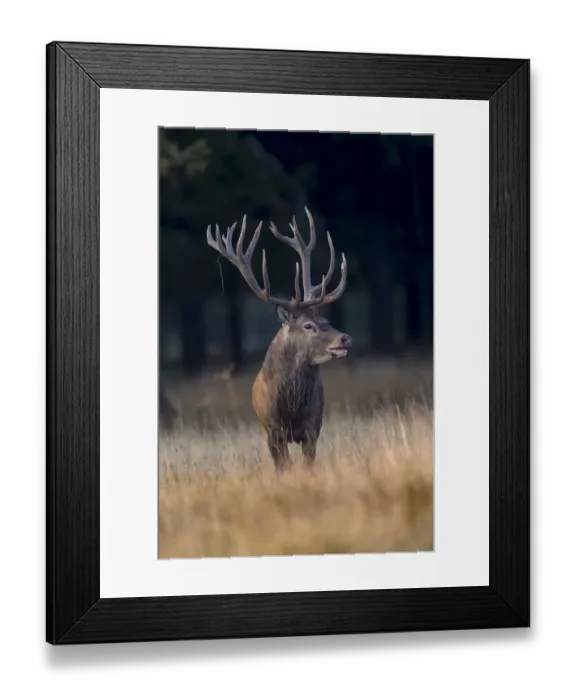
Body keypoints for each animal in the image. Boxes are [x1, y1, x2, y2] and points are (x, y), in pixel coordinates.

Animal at [206, 207, 352, 472]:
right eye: (308, 326)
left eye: (326, 320)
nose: (345, 338)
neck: (290, 408)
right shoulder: (272, 431)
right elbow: (283, 468)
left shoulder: (312, 428)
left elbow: (308, 466)